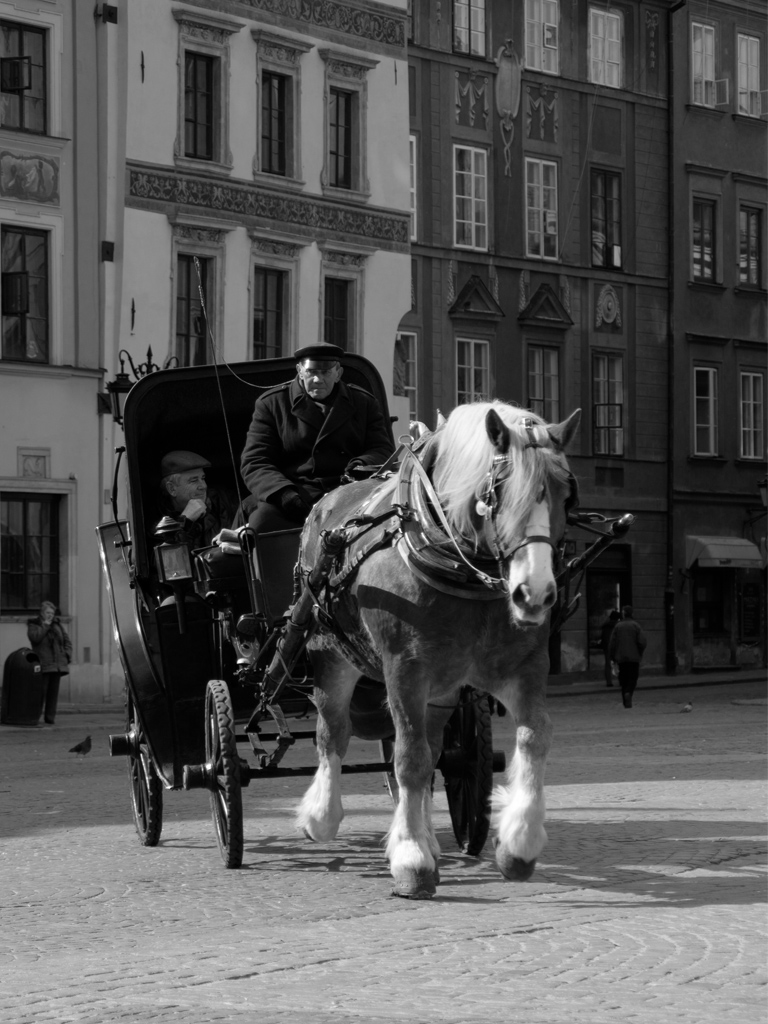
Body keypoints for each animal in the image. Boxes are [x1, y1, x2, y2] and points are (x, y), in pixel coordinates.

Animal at [296, 399, 581, 897]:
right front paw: (411, 860)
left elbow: (533, 737)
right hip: (330, 653)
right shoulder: (404, 669)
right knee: (334, 733)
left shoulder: (523, 666)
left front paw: (519, 841)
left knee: (431, 752)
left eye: (567, 496)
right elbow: (408, 759)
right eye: (497, 493)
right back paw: (324, 816)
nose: (536, 593)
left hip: (443, 690)